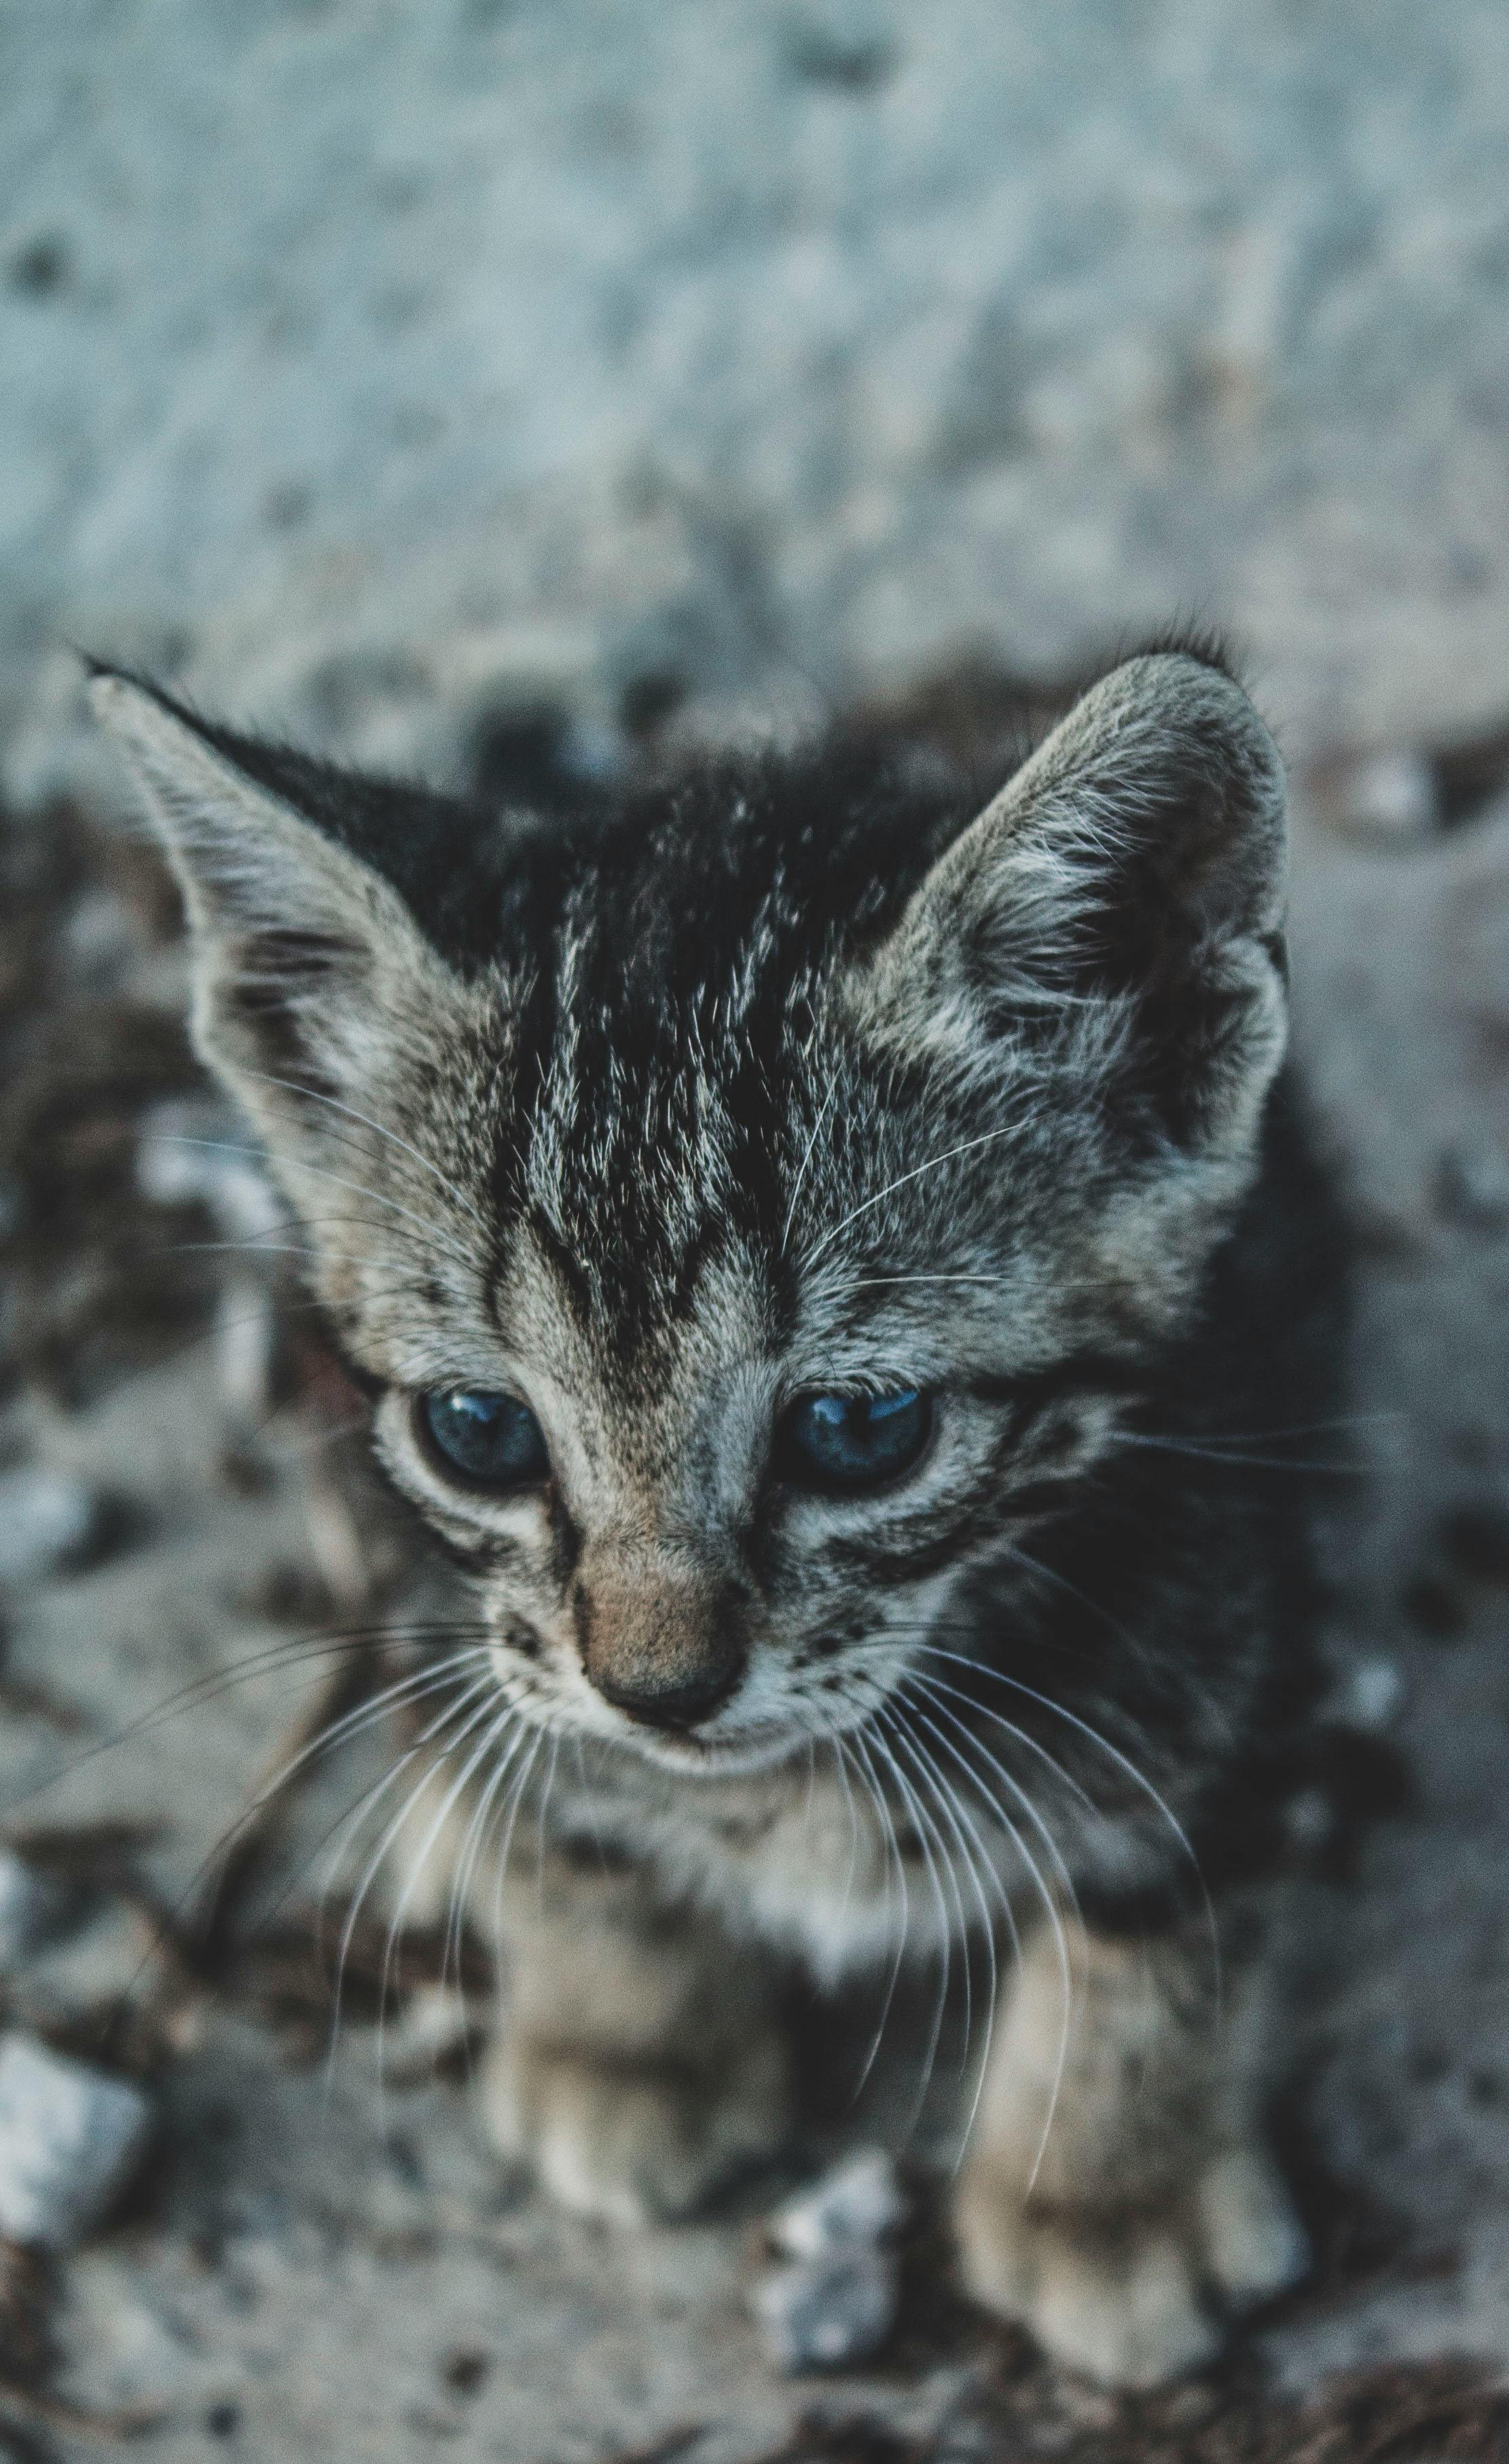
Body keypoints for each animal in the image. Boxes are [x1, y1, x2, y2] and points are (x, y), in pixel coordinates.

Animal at [94, 640, 1341, 2385]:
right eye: (479, 1431)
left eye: (861, 1429)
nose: (659, 1688)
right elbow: (568, 1817)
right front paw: (626, 2039)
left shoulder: (1240, 1593)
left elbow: (1161, 1905)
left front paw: (1106, 2193)